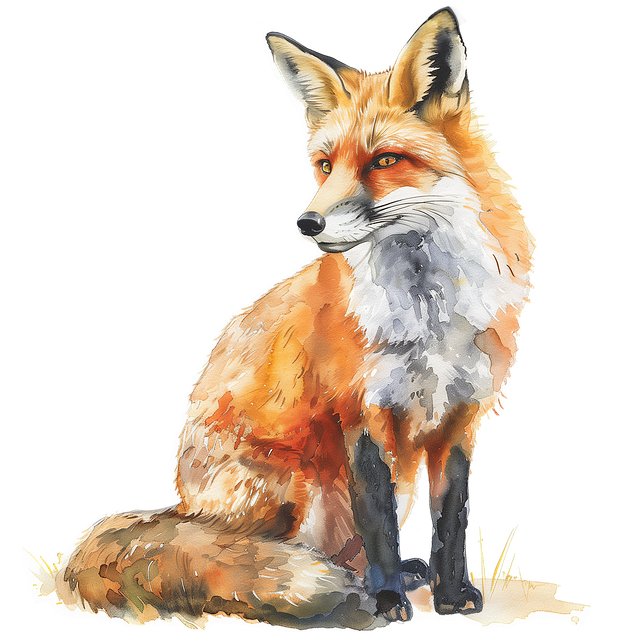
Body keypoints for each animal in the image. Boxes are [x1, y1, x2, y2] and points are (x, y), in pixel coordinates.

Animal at [25, 7, 536, 631]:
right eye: (324, 165)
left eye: (385, 161)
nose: (307, 223)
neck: (427, 316)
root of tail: (183, 508)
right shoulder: (358, 413)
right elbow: (378, 529)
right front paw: (386, 602)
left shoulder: (460, 417)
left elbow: (450, 520)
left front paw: (452, 595)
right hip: (297, 484)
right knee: (241, 572)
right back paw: (341, 591)